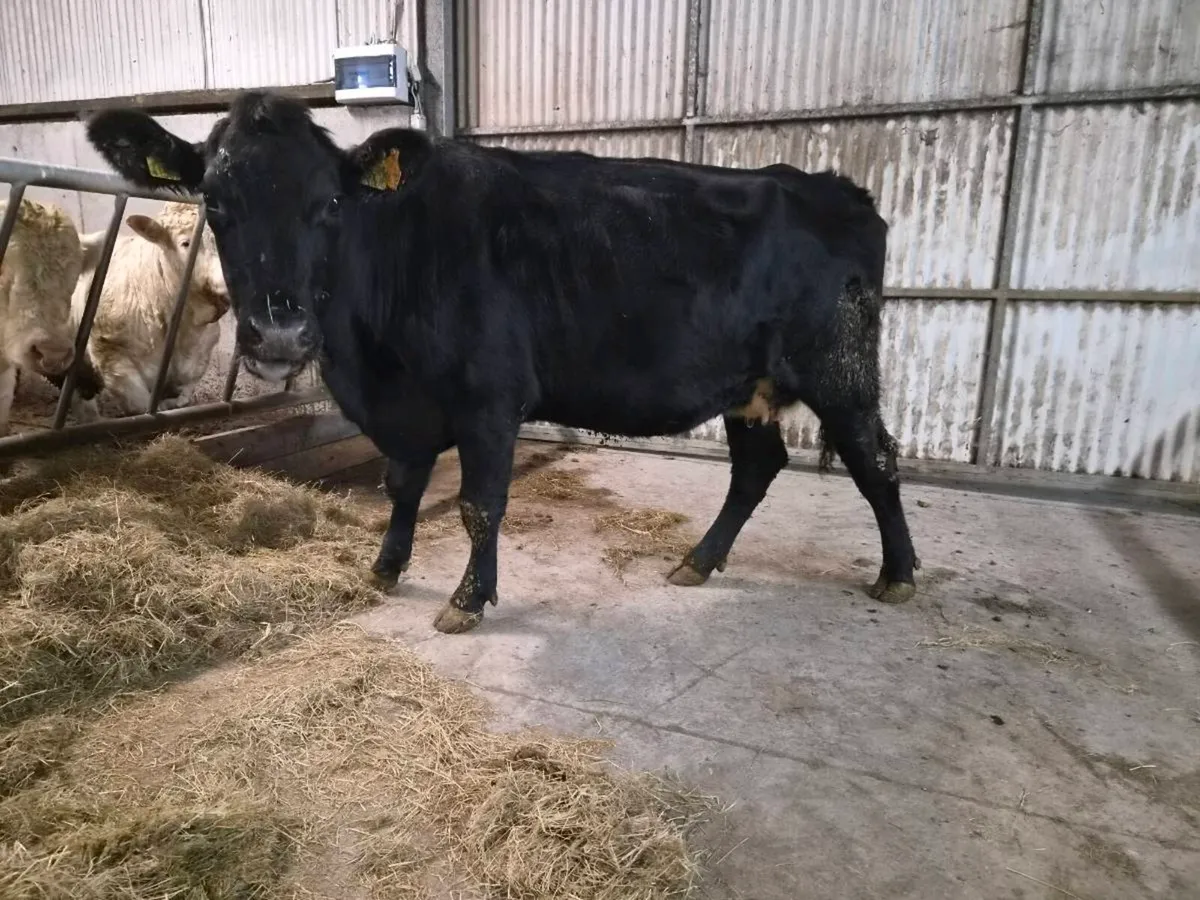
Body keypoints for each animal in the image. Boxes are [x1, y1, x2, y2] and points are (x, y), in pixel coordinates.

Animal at [85, 91, 920, 634]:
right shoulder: (408, 406)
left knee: (875, 458)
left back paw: (899, 574)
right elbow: (402, 484)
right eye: (216, 205)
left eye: (330, 205)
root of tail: (832, 187)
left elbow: (478, 504)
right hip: (748, 380)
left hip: (839, 368)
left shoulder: (488, 398)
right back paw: (697, 560)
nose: (281, 334)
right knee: (756, 467)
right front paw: (385, 568)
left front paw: (464, 601)